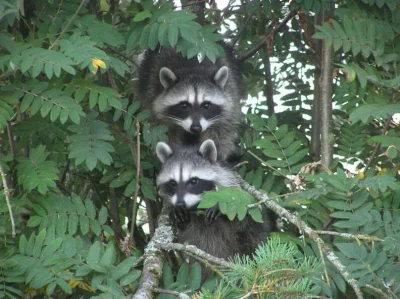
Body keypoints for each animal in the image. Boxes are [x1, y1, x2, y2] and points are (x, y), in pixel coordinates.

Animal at [155, 141, 276, 278]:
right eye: (173, 183)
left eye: (193, 181)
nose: (180, 203)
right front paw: (178, 211)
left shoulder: (237, 194)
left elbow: (242, 221)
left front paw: (218, 207)